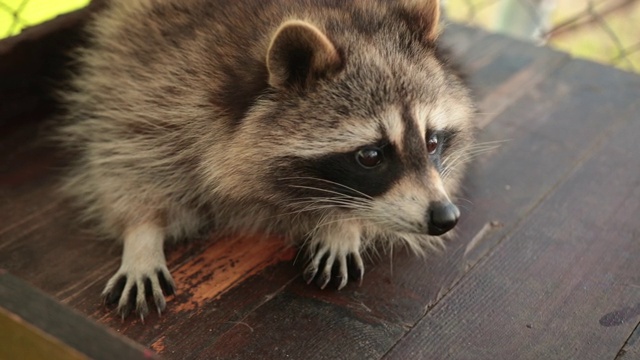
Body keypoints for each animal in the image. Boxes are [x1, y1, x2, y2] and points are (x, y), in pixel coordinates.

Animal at [58, 0, 476, 320]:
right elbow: (125, 162)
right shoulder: (152, 86)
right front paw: (142, 235)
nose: (446, 217)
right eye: (371, 155)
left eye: (432, 142)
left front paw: (342, 225)